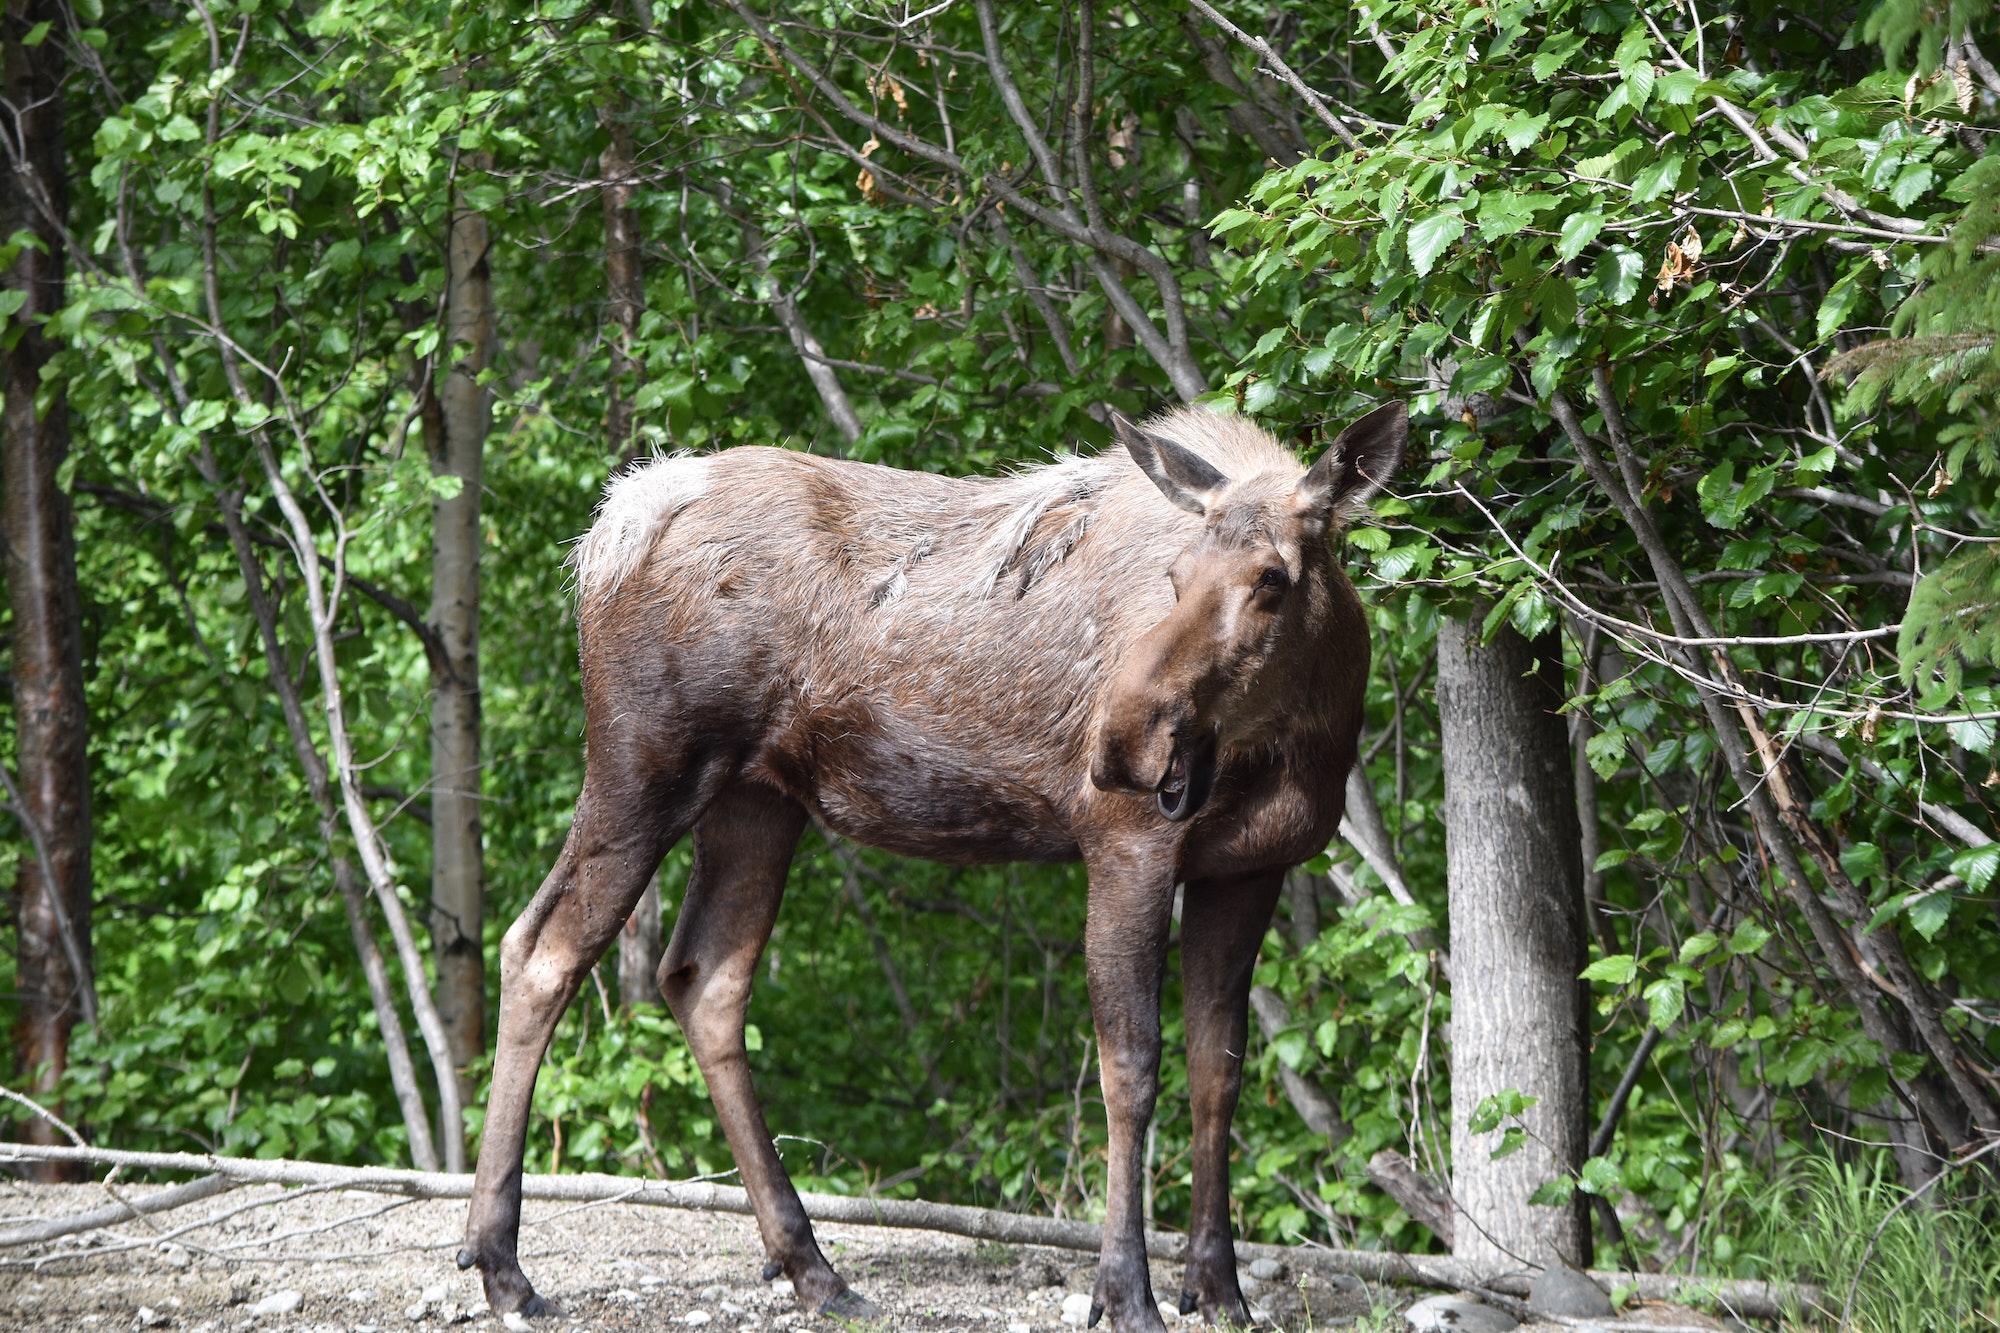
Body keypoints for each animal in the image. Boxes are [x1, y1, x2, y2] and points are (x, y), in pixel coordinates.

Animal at [462, 400, 1416, 1320]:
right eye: (1175, 576)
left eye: (1273, 579)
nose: (1120, 742)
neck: (1303, 740)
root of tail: (605, 535)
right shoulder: (1127, 844)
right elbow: (1132, 1068)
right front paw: (1126, 1293)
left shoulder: (1249, 869)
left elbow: (1219, 1070)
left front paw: (1219, 1291)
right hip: (644, 767)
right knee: (539, 948)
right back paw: (502, 1263)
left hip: (756, 799)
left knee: (704, 977)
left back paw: (812, 1269)